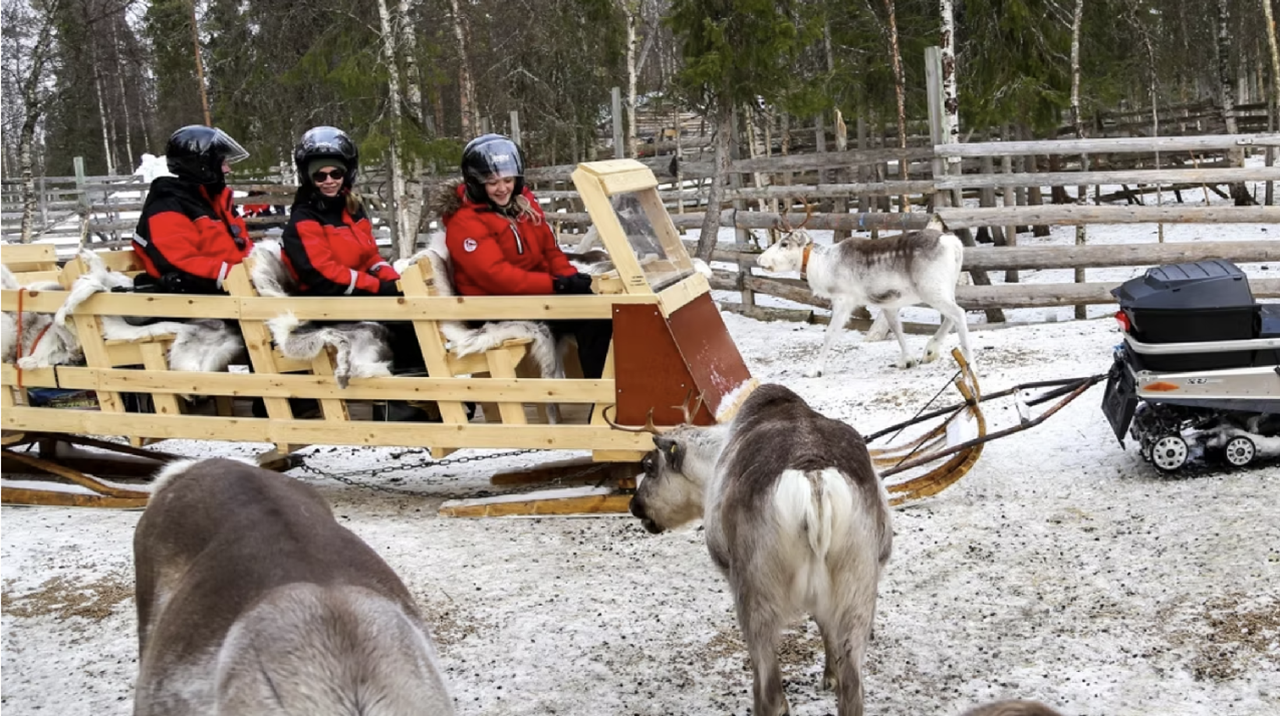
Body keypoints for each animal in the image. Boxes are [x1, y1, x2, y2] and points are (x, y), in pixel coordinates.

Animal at [610, 384, 892, 716]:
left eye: (650, 466)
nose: (634, 506)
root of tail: (812, 477)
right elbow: (824, 625)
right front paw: (829, 676)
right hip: (858, 588)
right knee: (853, 688)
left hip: (756, 593)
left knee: (768, 688)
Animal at [755, 202, 972, 376]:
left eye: (784, 243)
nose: (759, 259)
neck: (821, 265)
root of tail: (953, 243)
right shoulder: (889, 303)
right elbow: (897, 328)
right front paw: (907, 360)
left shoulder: (843, 299)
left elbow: (829, 334)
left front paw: (815, 370)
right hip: (945, 288)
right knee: (952, 315)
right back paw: (930, 351)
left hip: (931, 289)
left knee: (959, 313)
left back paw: (968, 362)